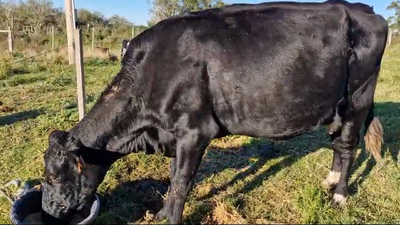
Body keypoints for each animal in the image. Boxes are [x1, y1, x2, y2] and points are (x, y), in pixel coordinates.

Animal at [40, 0, 388, 223]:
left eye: (53, 175)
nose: (48, 211)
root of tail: (364, 10)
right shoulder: (177, 134)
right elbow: (173, 176)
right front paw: (162, 213)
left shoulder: (195, 130)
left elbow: (181, 180)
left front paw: (170, 218)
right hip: (338, 105)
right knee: (337, 141)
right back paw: (329, 181)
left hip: (358, 96)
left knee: (348, 146)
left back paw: (339, 195)